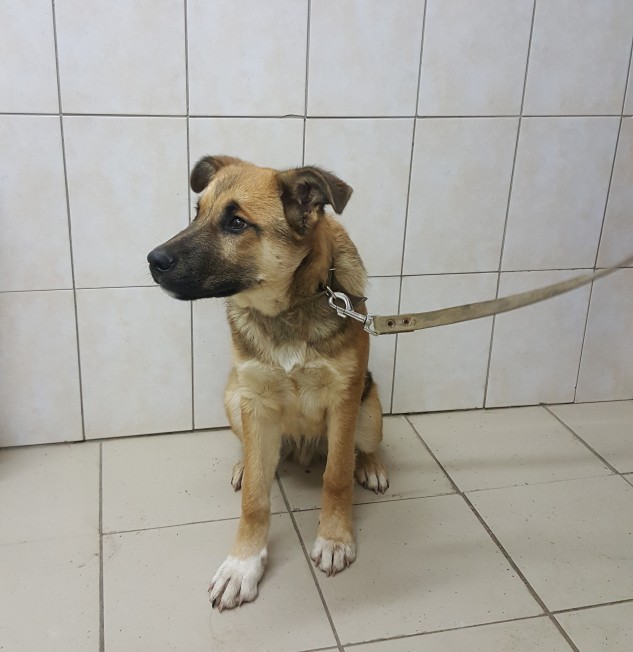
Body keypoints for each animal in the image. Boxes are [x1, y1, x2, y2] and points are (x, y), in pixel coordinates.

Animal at [148, 155, 388, 611]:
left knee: (360, 450)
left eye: (237, 223)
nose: (152, 259)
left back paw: (371, 466)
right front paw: (242, 566)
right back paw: (246, 464)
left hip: (369, 412)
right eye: (197, 212)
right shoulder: (255, 402)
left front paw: (334, 538)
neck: (287, 311)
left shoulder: (344, 400)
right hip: (233, 398)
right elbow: (255, 502)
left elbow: (336, 477)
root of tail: (303, 447)